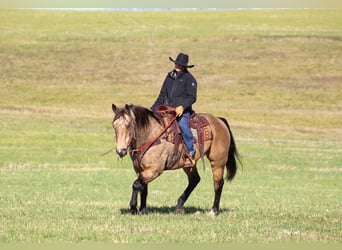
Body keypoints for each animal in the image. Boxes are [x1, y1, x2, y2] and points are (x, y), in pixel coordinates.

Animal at [111, 103, 239, 215]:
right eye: (114, 126)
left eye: (128, 125)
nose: (120, 150)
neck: (152, 136)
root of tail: (219, 120)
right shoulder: (141, 170)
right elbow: (143, 188)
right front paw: (142, 210)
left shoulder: (154, 170)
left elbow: (136, 185)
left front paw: (133, 208)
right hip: (189, 164)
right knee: (194, 180)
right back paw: (179, 206)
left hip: (217, 162)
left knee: (218, 183)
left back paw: (214, 210)